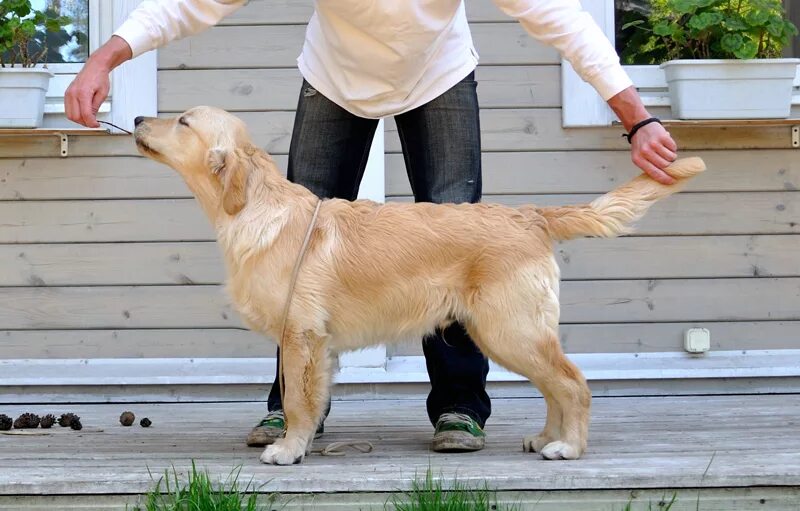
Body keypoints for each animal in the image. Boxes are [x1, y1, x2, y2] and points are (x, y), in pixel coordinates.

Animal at [136, 106, 708, 466]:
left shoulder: (301, 335)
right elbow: (313, 400)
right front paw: (298, 442)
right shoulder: (312, 344)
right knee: (555, 386)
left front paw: (289, 450)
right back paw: (546, 438)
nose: (139, 119)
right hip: (507, 332)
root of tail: (530, 215)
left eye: (183, 120)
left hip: (509, 329)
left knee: (573, 383)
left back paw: (569, 448)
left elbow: (299, 400)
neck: (253, 208)